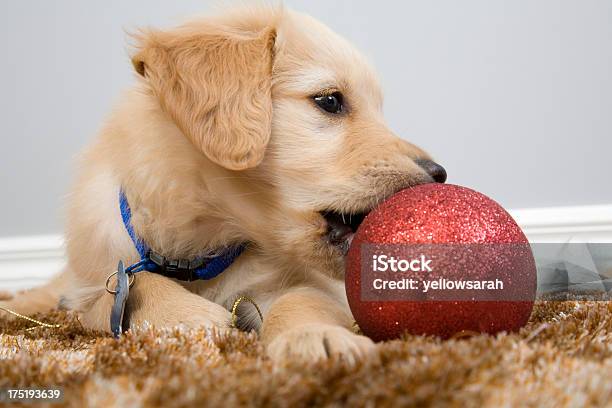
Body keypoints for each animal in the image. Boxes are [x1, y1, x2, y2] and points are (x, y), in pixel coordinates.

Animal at [2, 6, 448, 362]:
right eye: (329, 101)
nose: (439, 173)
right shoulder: (100, 283)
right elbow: (126, 288)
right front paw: (192, 320)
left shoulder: (305, 285)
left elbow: (302, 299)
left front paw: (315, 336)